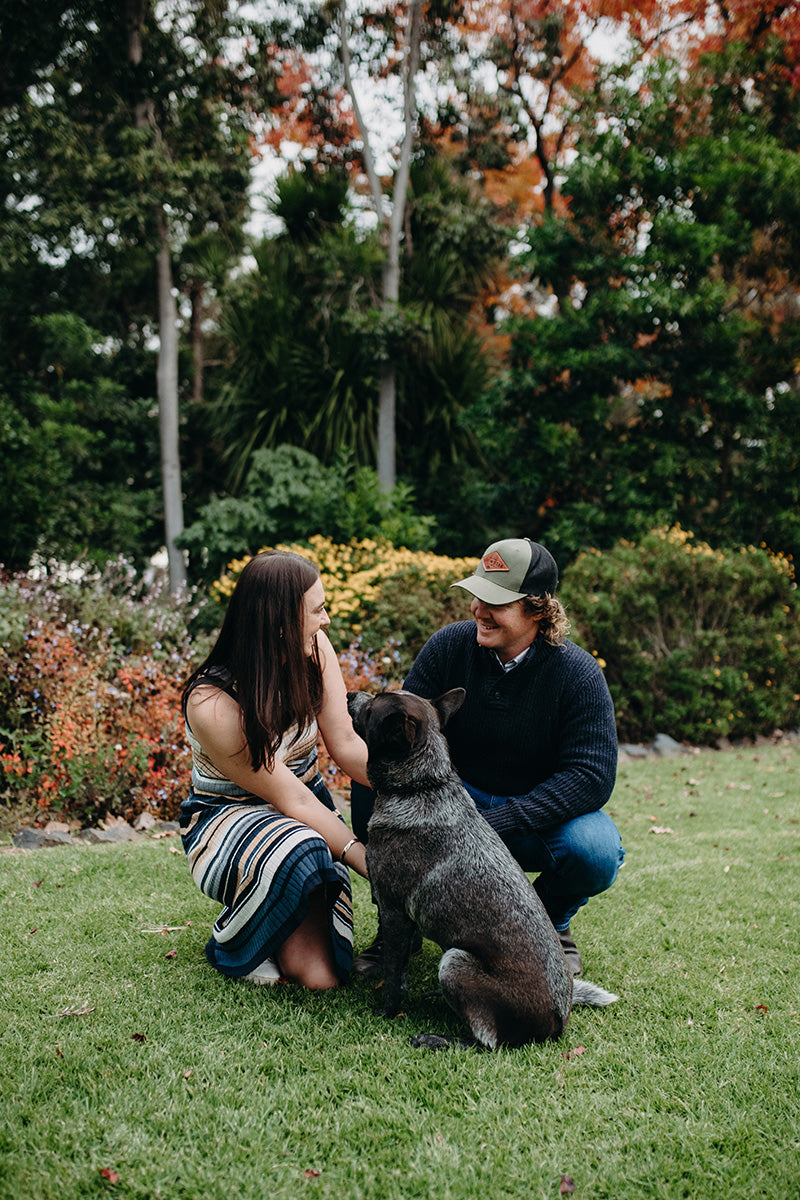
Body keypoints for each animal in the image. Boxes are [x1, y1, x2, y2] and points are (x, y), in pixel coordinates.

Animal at [345, 686, 618, 1051]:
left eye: (374, 704)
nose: (350, 694)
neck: (425, 785)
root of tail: (558, 1021)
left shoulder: (394, 912)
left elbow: (394, 977)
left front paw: (387, 1010)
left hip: (455, 961)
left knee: (486, 1042)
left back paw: (438, 1038)